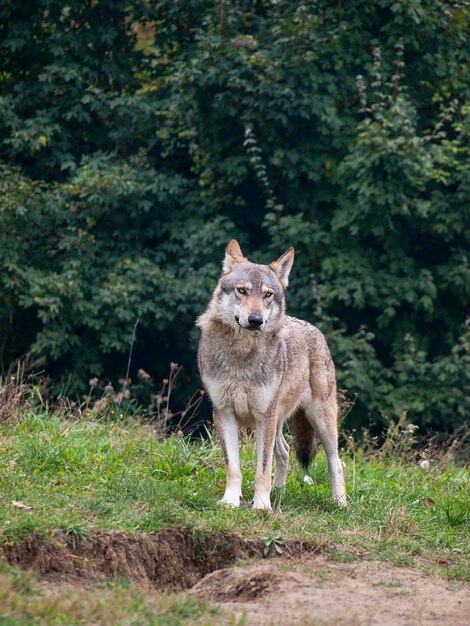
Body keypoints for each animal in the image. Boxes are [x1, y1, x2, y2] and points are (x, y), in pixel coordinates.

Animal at [196, 239, 346, 508]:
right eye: (242, 290)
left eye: (268, 294)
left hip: (319, 419)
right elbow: (233, 467)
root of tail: (315, 329)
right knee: (285, 451)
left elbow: (262, 468)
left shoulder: (264, 415)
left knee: (336, 461)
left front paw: (261, 506)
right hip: (277, 422)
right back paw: (280, 492)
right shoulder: (224, 413)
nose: (256, 320)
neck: (242, 357)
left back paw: (340, 503)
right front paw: (231, 501)